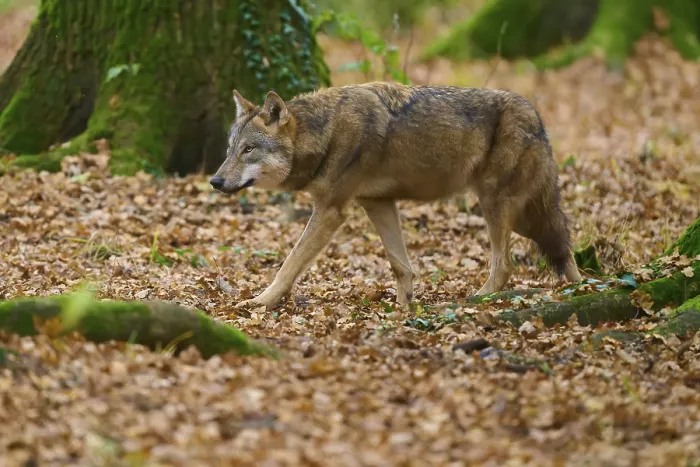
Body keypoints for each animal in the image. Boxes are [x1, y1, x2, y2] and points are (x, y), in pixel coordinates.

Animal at [210, 82, 582, 310]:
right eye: (229, 150)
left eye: (248, 150)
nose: (215, 180)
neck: (324, 133)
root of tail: (536, 116)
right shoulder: (378, 204)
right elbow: (401, 265)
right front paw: (405, 308)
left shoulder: (331, 209)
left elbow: (290, 263)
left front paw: (261, 301)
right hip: (525, 217)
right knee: (564, 250)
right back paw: (583, 290)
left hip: (498, 207)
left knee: (506, 265)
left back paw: (473, 301)